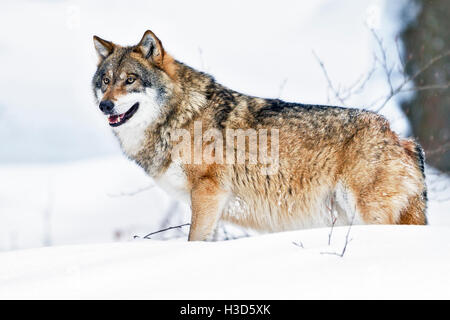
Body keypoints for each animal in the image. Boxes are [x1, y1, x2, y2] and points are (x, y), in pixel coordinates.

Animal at [92, 30, 428, 241]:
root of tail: (403, 139)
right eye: (105, 81)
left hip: (367, 213)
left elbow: (192, 239)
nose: (104, 105)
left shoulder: (208, 194)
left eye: (130, 80)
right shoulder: (211, 204)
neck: (182, 115)